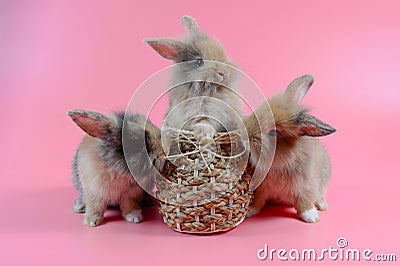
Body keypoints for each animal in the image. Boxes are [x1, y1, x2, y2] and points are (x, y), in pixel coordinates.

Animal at [245, 75, 336, 222]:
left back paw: (322, 206)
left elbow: (305, 202)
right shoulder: (259, 188)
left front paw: (311, 218)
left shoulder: (306, 186)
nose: (246, 134)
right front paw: (249, 212)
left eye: (274, 132)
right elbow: (257, 201)